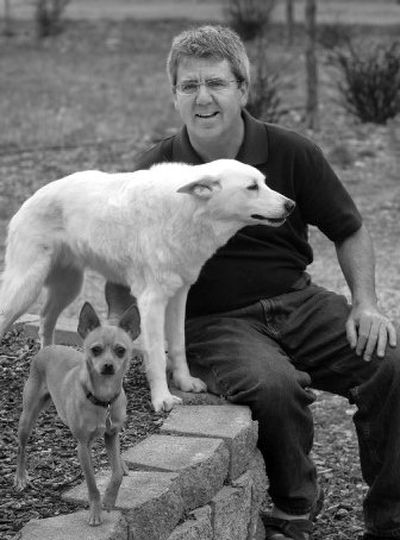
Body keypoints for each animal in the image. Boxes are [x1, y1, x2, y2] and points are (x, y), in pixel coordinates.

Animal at [0, 158, 294, 412]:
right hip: (26, 287)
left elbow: (178, 345)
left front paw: (185, 382)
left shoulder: (178, 296)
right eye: (252, 187)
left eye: (264, 182)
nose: (291, 205)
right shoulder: (151, 301)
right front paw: (162, 399)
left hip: (68, 286)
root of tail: (31, 198)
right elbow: (157, 355)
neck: (186, 209)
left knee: (45, 319)